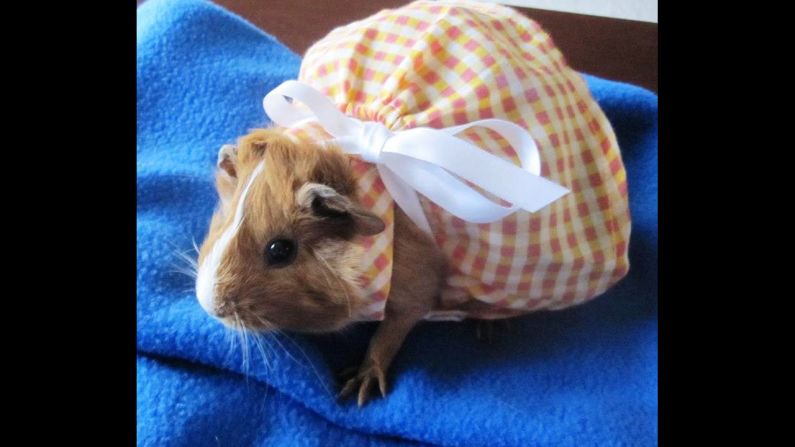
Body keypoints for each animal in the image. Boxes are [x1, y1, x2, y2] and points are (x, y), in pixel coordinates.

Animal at [196, 128, 447, 406]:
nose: (211, 306)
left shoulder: (416, 287)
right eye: (224, 221)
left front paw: (358, 389)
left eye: (280, 250)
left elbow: (393, 330)